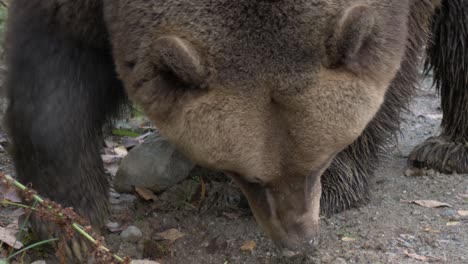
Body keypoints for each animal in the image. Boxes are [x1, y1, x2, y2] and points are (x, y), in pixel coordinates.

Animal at [3, 0, 468, 260]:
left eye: (320, 161)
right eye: (249, 176)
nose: (300, 244)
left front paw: (340, 183)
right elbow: (54, 77)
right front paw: (68, 222)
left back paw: (447, 148)